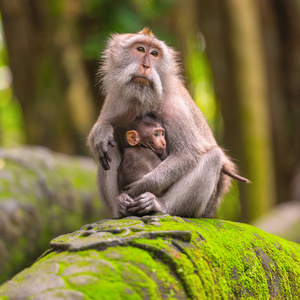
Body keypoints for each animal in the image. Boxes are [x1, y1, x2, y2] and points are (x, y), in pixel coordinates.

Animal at [87, 28, 246, 218]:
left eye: (154, 54)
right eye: (140, 49)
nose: (146, 66)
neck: (143, 98)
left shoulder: (174, 105)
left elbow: (187, 153)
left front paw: (142, 186)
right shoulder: (116, 98)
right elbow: (100, 131)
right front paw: (101, 131)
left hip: (204, 207)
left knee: (213, 156)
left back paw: (159, 205)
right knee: (108, 147)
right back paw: (120, 206)